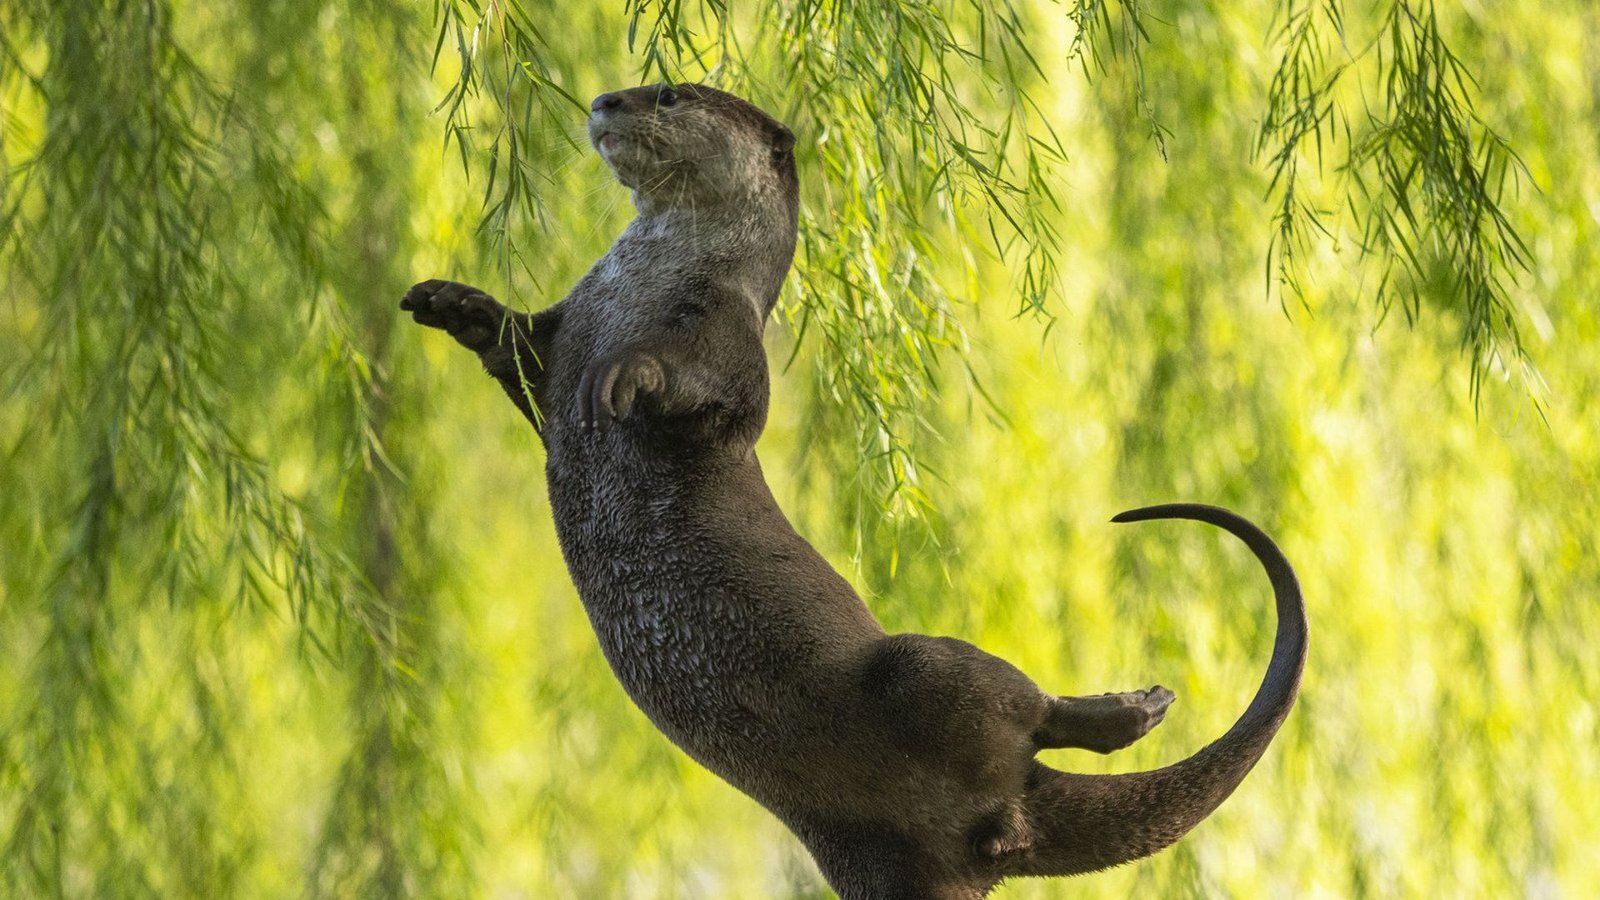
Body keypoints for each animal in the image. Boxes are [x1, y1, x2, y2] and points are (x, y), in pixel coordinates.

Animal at [401, 83, 1307, 898]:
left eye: (666, 94)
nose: (604, 102)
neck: (640, 284)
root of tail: (1002, 824)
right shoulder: (564, 329)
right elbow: (516, 349)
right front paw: (451, 302)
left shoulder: (729, 341)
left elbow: (698, 386)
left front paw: (627, 373)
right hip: (868, 857)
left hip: (918, 670)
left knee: (1023, 708)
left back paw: (1135, 707)